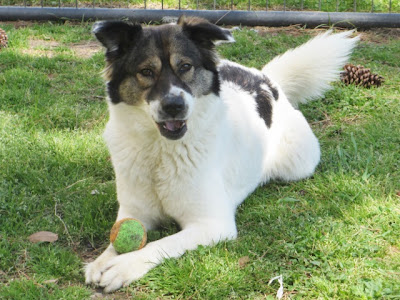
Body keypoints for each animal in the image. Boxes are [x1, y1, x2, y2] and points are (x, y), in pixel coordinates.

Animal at [85, 17, 360, 292]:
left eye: (185, 66)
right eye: (146, 72)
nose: (174, 106)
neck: (161, 152)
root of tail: (268, 80)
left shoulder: (212, 224)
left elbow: (161, 243)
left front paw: (123, 266)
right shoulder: (134, 211)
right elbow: (115, 238)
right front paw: (102, 261)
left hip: (298, 164)